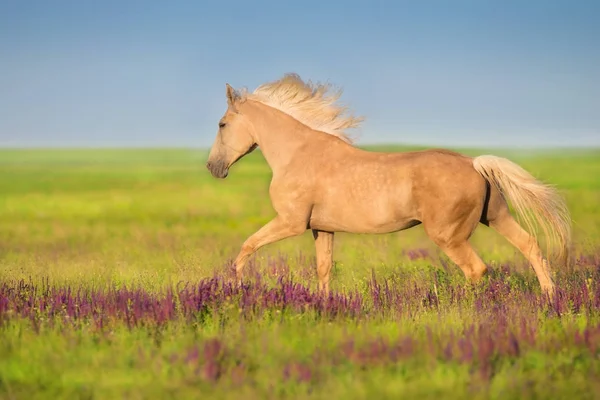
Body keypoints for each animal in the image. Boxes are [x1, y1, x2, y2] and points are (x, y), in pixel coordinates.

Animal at [206, 72, 572, 296]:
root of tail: (475, 164)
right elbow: (323, 270)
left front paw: (236, 286)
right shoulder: (322, 228)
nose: (213, 167)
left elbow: (246, 247)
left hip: (449, 235)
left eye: (222, 124)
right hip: (494, 217)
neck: (297, 154)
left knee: (477, 269)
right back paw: (549, 297)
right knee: (531, 246)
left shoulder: (290, 223)